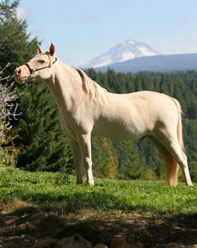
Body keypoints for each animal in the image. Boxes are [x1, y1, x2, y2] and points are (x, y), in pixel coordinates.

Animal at [13, 43, 192, 186]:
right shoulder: (72, 138)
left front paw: (90, 184)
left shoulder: (84, 134)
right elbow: (77, 161)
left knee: (182, 158)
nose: (18, 72)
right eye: (33, 58)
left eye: (42, 61)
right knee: (172, 159)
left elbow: (87, 160)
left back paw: (189, 185)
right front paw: (79, 183)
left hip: (167, 136)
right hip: (157, 138)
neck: (77, 98)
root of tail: (169, 99)